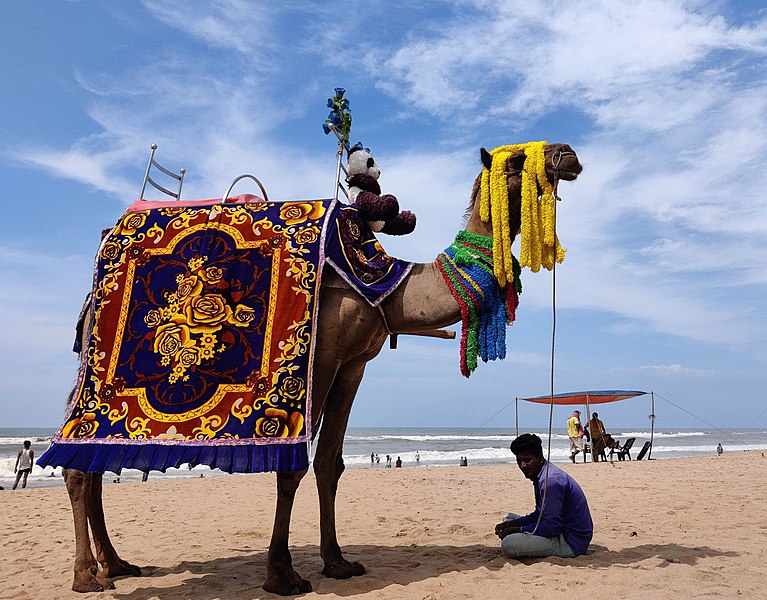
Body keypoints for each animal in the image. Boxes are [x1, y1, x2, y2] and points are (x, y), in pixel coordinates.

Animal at [63, 142, 584, 596]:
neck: (387, 288)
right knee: (78, 454)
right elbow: (293, 463)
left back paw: (117, 564)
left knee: (89, 457)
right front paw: (282, 575)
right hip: (97, 363)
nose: (568, 154)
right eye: (515, 160)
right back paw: (88, 575)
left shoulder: (354, 365)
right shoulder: (322, 357)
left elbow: (330, 461)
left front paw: (337, 562)